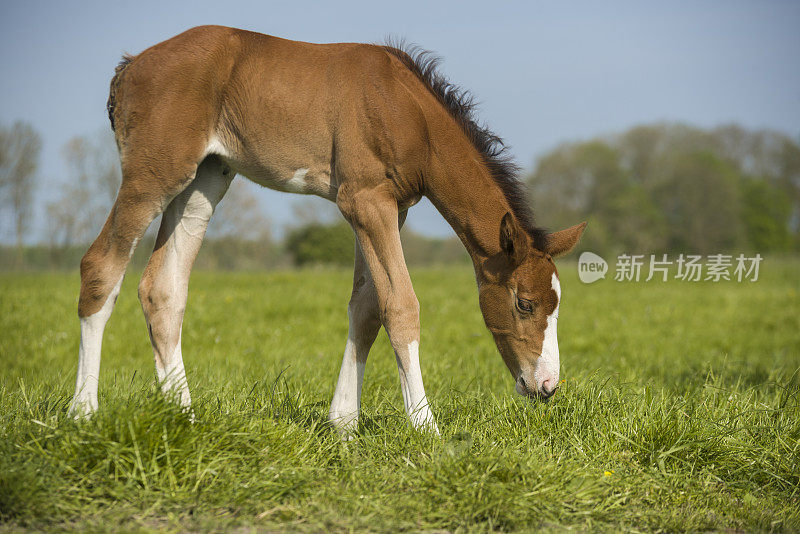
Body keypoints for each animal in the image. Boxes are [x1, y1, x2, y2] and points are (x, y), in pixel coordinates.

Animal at [69, 26, 584, 436]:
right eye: (525, 303)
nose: (547, 386)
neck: (406, 109)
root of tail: (130, 67)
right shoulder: (365, 201)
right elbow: (401, 305)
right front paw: (426, 427)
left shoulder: (390, 209)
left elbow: (367, 308)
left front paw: (344, 422)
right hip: (155, 173)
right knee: (101, 266)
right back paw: (82, 414)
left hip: (204, 179)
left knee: (162, 289)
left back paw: (185, 418)